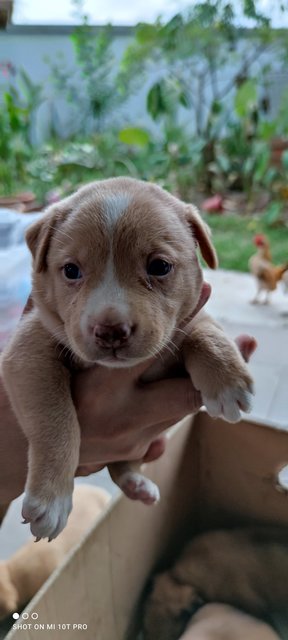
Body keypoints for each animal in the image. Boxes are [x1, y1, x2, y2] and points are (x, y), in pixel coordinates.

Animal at [0, 176, 252, 540]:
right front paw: (51, 499)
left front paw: (228, 382)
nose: (110, 330)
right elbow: (57, 422)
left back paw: (136, 483)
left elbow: (205, 331)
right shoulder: (29, 352)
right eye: (71, 270)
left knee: (124, 462)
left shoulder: (187, 318)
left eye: (159, 267)